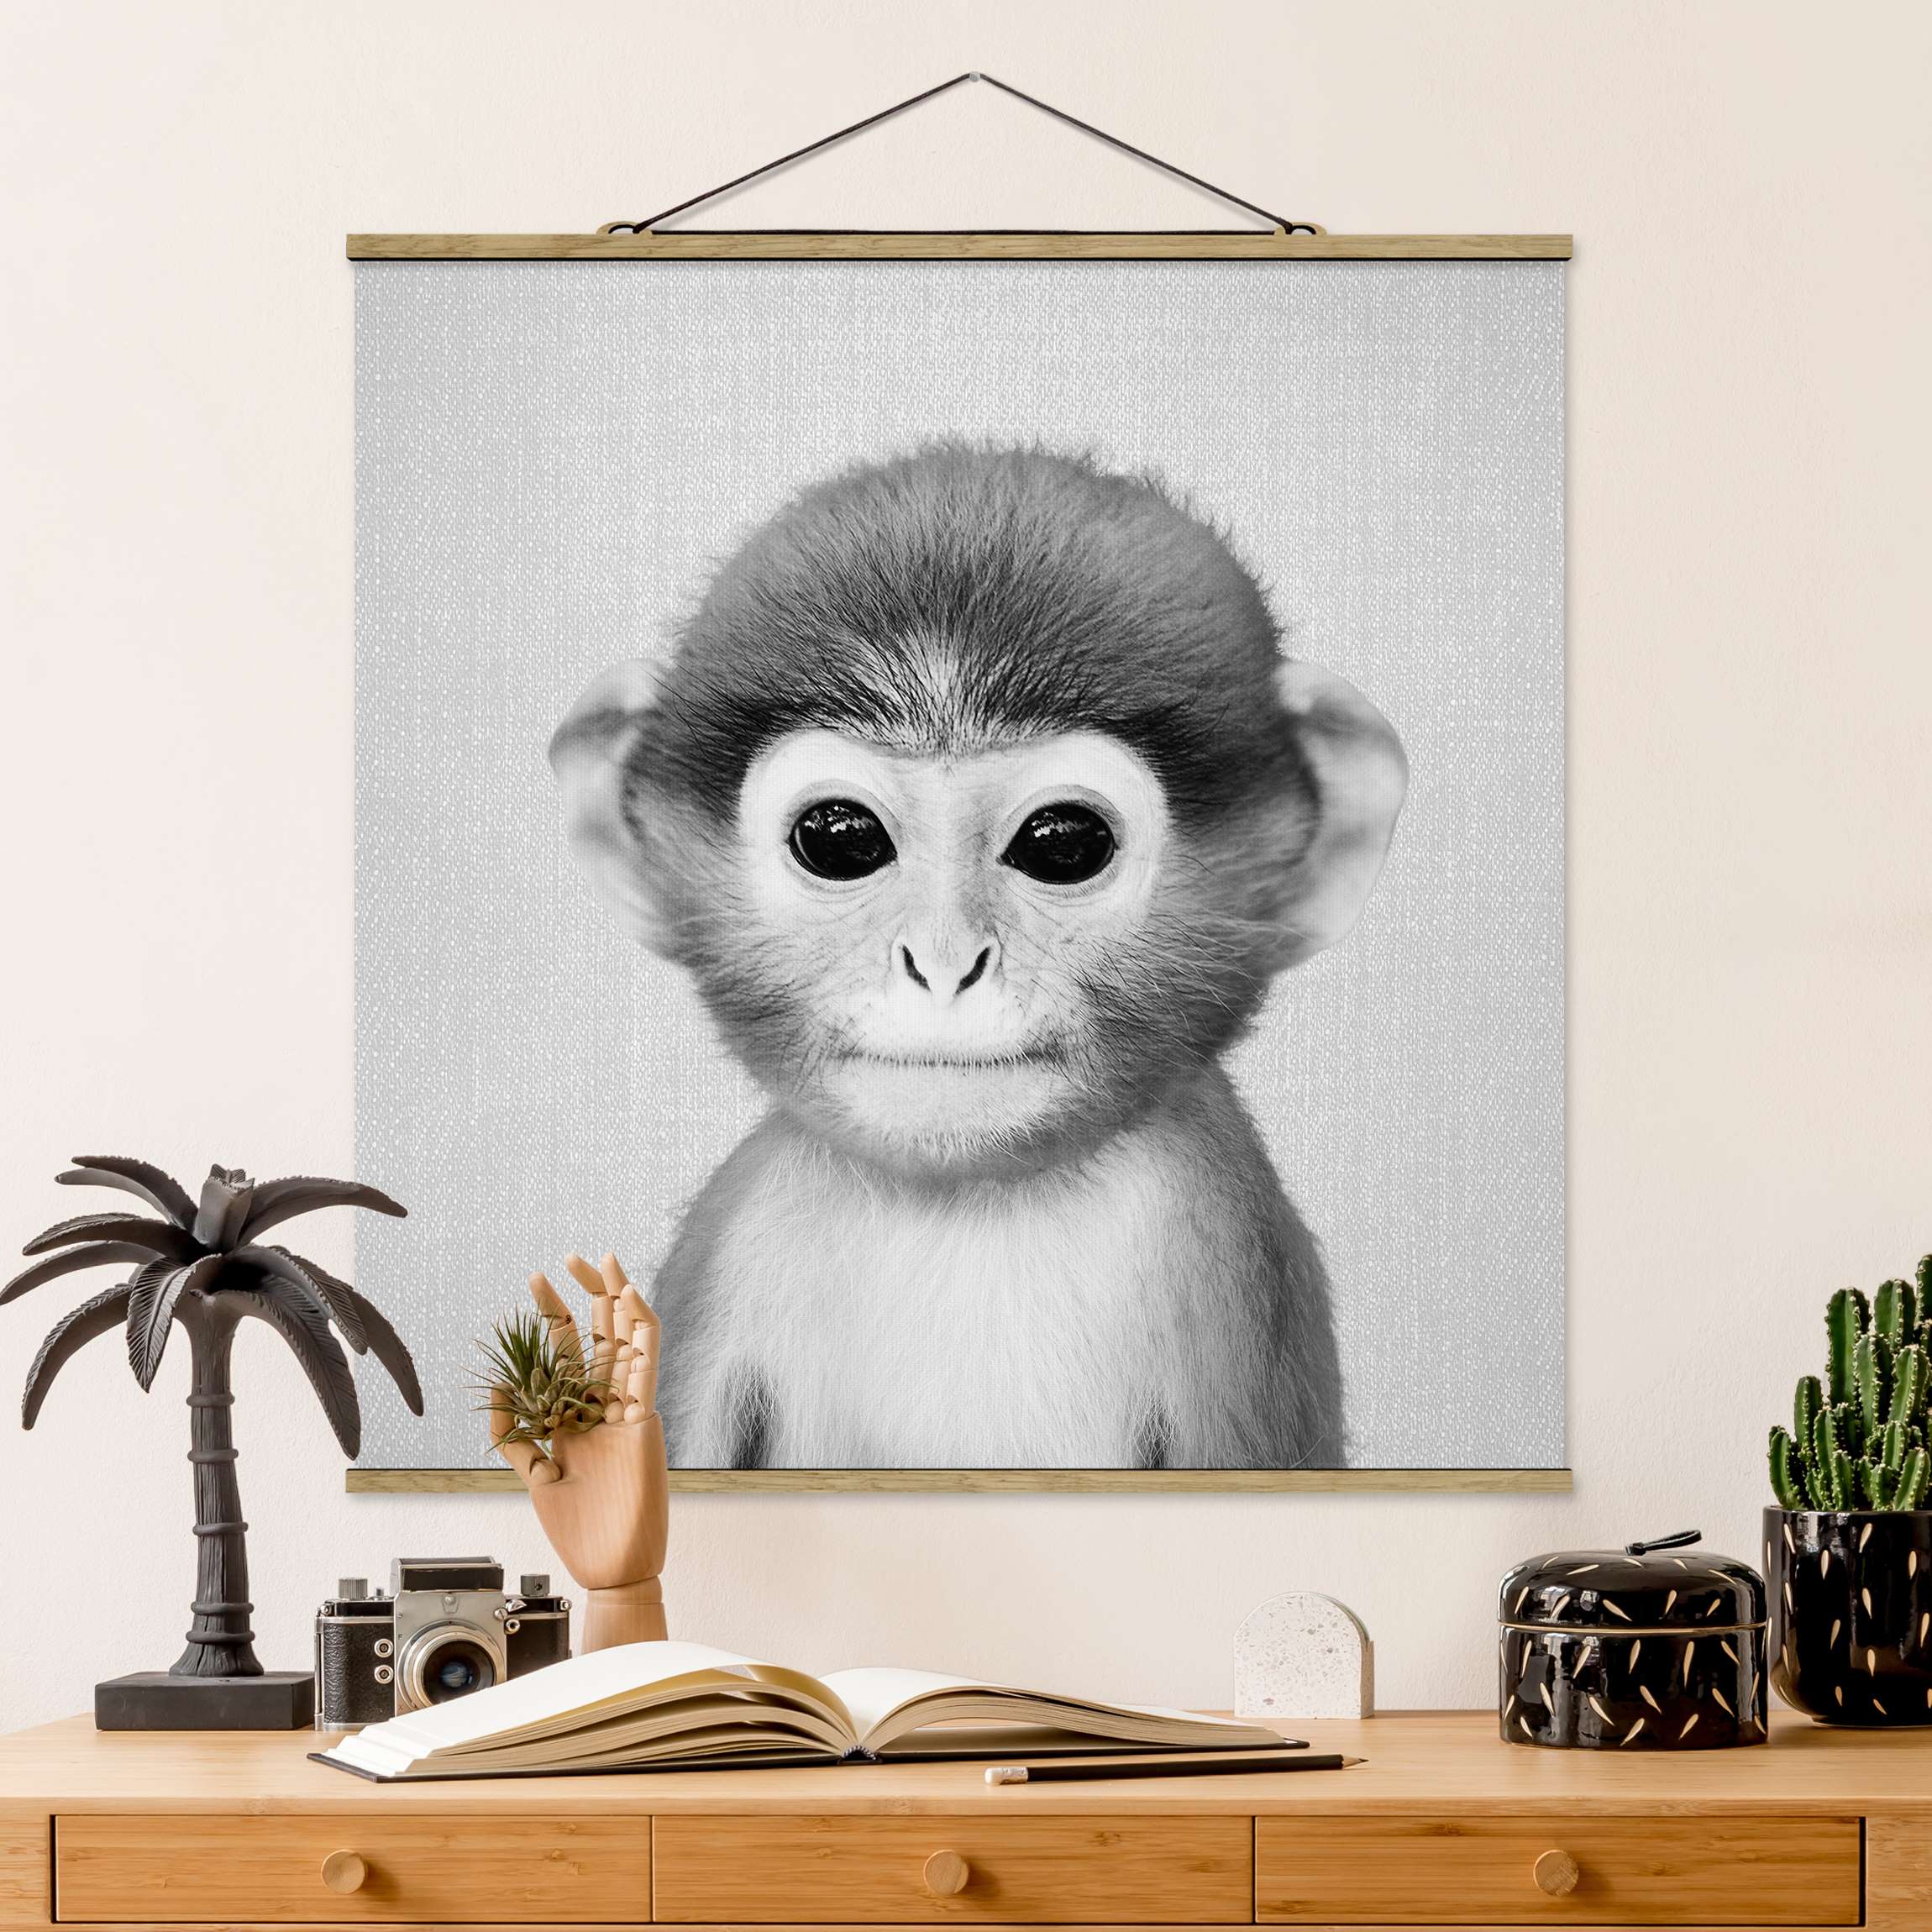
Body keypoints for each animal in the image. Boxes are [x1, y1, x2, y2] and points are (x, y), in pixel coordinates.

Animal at [550, 444, 1407, 1471]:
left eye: (1063, 843)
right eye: (839, 837)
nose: (944, 962)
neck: (966, 1206)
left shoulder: (1226, 1264)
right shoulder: (730, 1242)